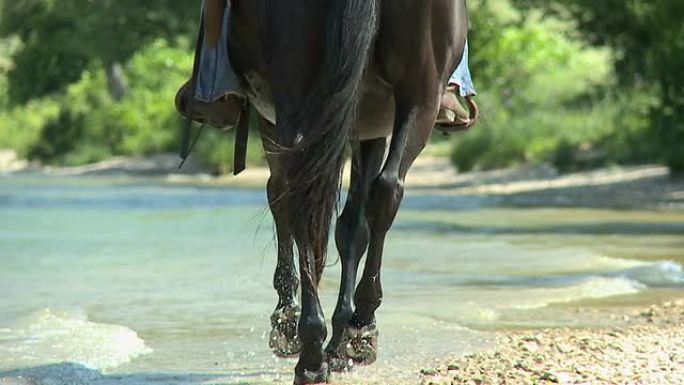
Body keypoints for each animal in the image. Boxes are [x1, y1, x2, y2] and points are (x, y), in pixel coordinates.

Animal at [224, 1, 470, 382]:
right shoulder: (368, 122)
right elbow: (351, 222)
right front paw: (337, 337)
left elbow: (290, 201)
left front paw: (289, 321)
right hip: (422, 97)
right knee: (385, 190)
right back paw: (356, 329)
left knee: (310, 199)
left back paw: (316, 349)